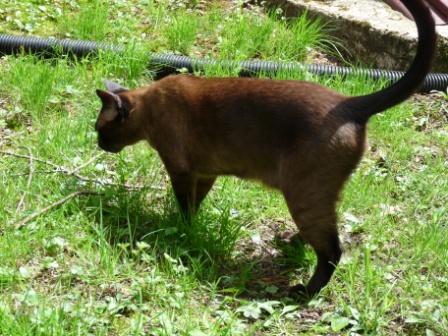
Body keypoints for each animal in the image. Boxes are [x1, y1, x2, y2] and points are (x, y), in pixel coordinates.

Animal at [93, 0, 434, 296]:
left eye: (99, 129)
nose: (98, 143)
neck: (149, 108)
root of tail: (349, 104)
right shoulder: (205, 174)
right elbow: (195, 205)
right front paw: (187, 228)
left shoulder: (181, 171)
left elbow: (185, 207)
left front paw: (179, 228)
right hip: (312, 196)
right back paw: (288, 246)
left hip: (303, 195)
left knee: (333, 251)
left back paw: (304, 292)